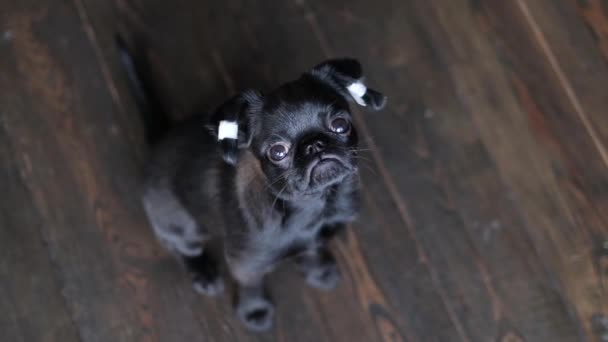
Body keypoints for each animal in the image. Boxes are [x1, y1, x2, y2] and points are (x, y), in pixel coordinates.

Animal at [119, 37, 384, 332]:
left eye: (340, 124)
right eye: (277, 151)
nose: (314, 145)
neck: (313, 205)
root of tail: (160, 140)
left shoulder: (321, 235)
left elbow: (314, 250)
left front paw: (319, 272)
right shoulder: (245, 265)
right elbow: (251, 287)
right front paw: (255, 311)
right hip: (182, 226)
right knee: (185, 249)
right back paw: (203, 272)